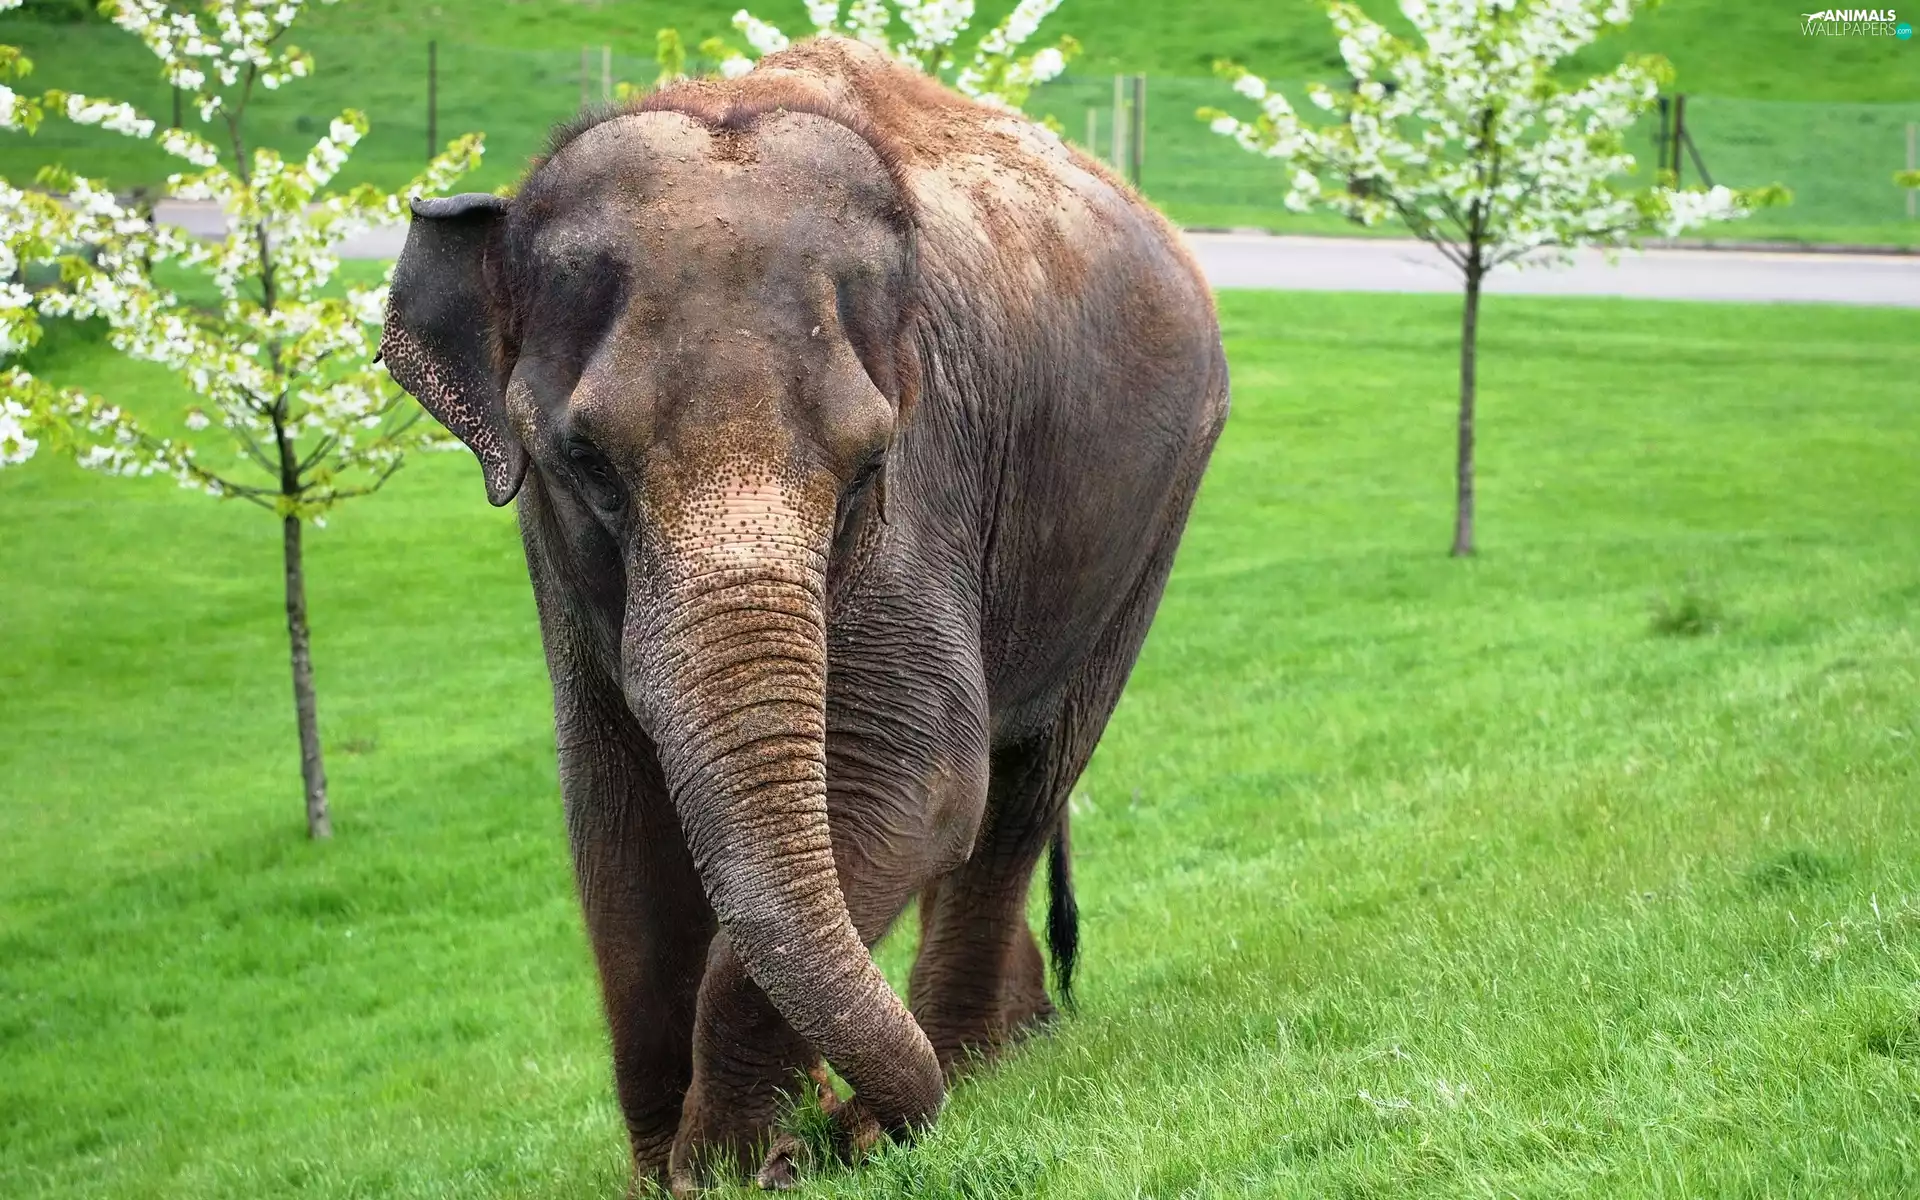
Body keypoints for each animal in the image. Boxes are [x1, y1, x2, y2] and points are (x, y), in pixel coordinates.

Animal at [379, 34, 1227, 1194]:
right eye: (586, 462)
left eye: (869, 465)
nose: (834, 1121)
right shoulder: (552, 558)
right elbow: (612, 817)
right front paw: (681, 1170)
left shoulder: (931, 477)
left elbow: (918, 775)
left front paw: (745, 1162)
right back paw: (1008, 1047)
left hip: (1156, 509)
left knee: (1024, 783)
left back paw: (971, 1065)